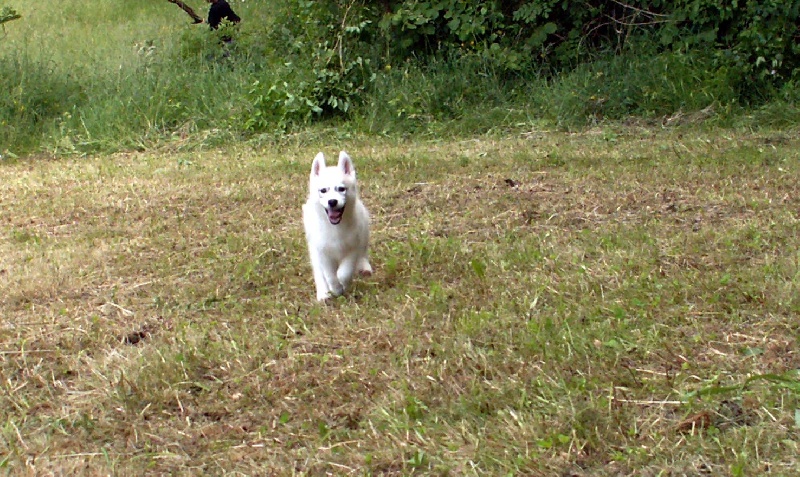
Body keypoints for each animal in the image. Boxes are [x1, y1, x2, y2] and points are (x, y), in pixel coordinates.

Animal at [302, 150, 372, 301]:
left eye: (341, 189)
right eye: (323, 190)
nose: (332, 201)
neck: (335, 227)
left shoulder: (352, 248)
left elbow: (344, 272)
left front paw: (342, 285)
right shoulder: (323, 252)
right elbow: (329, 275)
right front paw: (335, 288)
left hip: (364, 230)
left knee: (363, 252)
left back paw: (364, 267)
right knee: (318, 270)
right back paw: (323, 293)